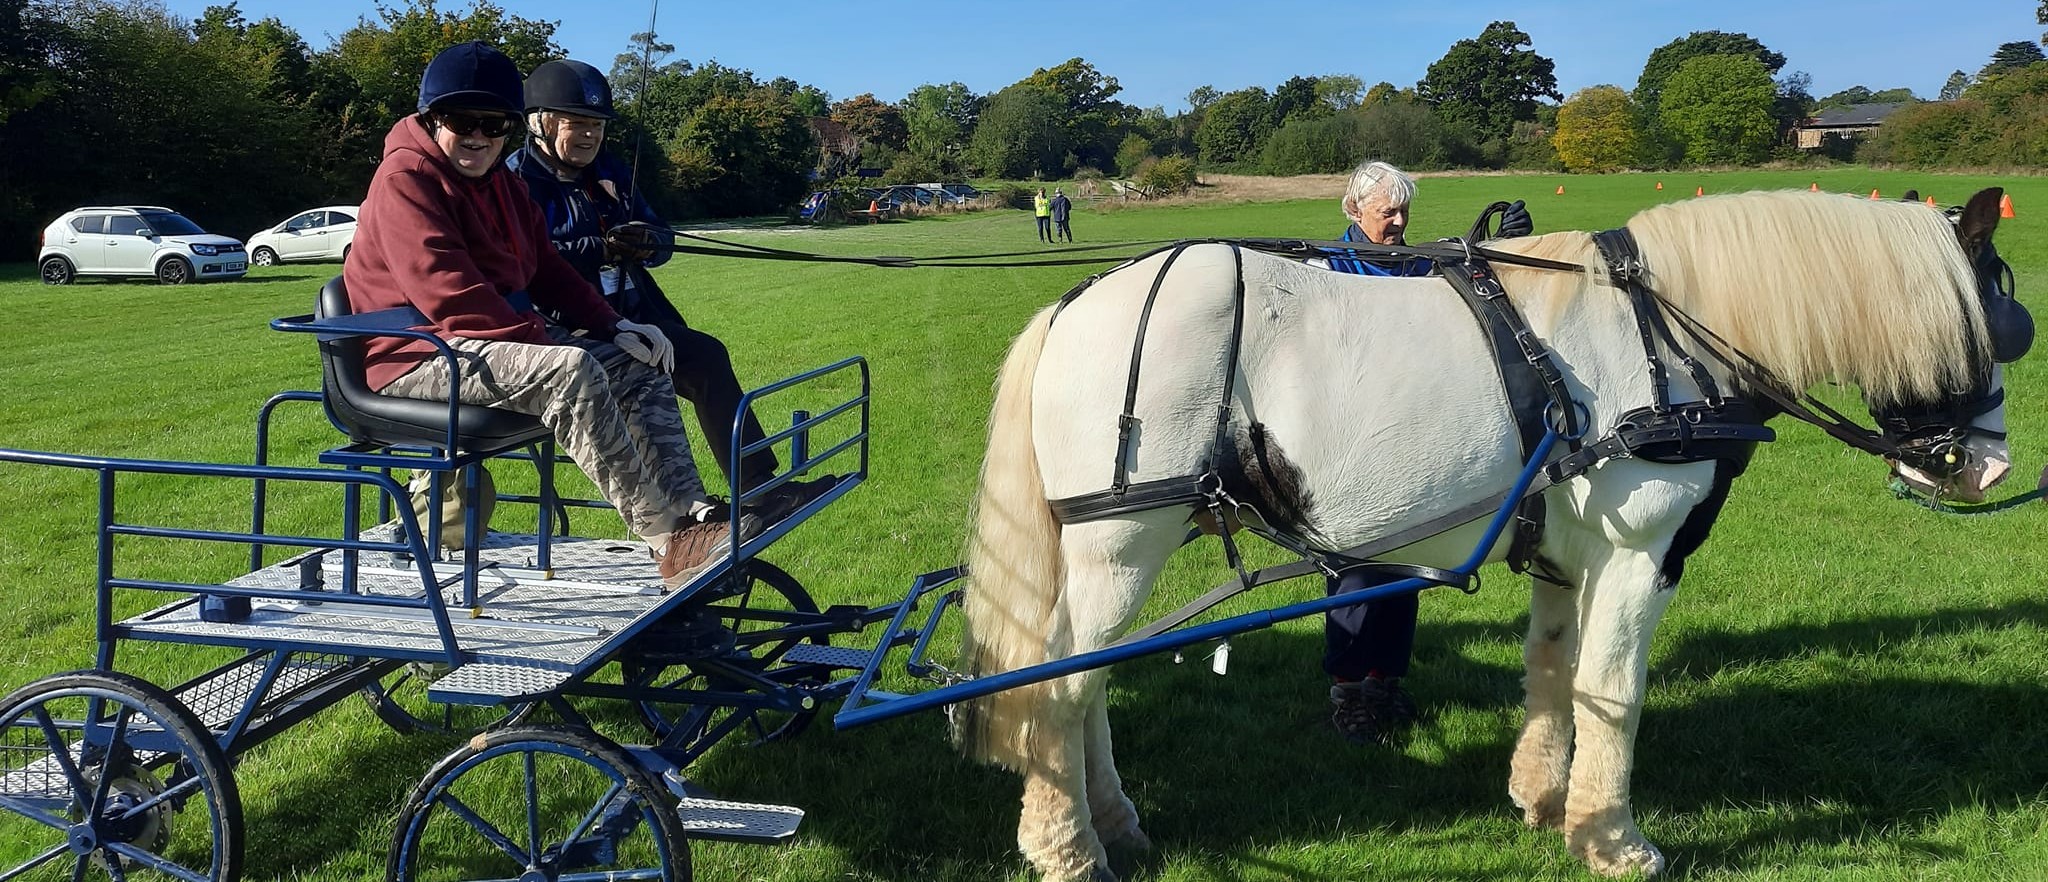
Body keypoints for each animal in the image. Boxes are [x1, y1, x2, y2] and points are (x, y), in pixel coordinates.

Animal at [954, 188, 2022, 880]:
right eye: (1993, 321)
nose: (1990, 468)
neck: (1665, 332)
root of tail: (1075, 303)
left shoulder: (1565, 554)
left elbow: (1553, 671)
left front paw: (1545, 801)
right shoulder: (1641, 553)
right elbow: (1613, 692)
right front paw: (1614, 839)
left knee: (1087, 678)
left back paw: (1115, 822)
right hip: (1123, 541)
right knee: (1059, 683)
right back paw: (1067, 848)